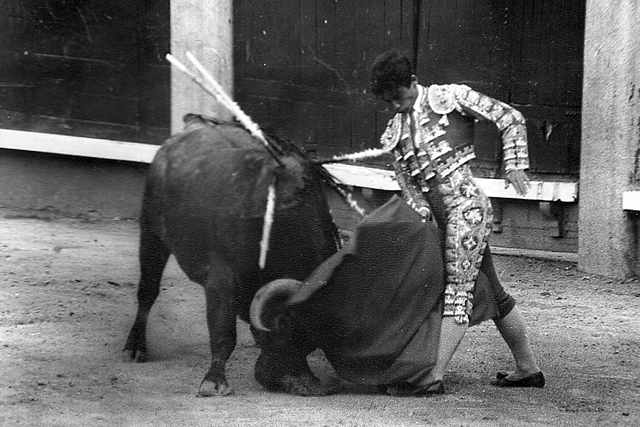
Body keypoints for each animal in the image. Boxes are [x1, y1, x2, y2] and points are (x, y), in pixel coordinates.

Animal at [121, 114, 340, 398]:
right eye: (285, 326)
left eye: (312, 341)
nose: (310, 387)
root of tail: (193, 126)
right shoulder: (221, 278)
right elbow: (224, 332)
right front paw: (214, 381)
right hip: (151, 233)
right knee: (147, 292)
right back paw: (135, 347)